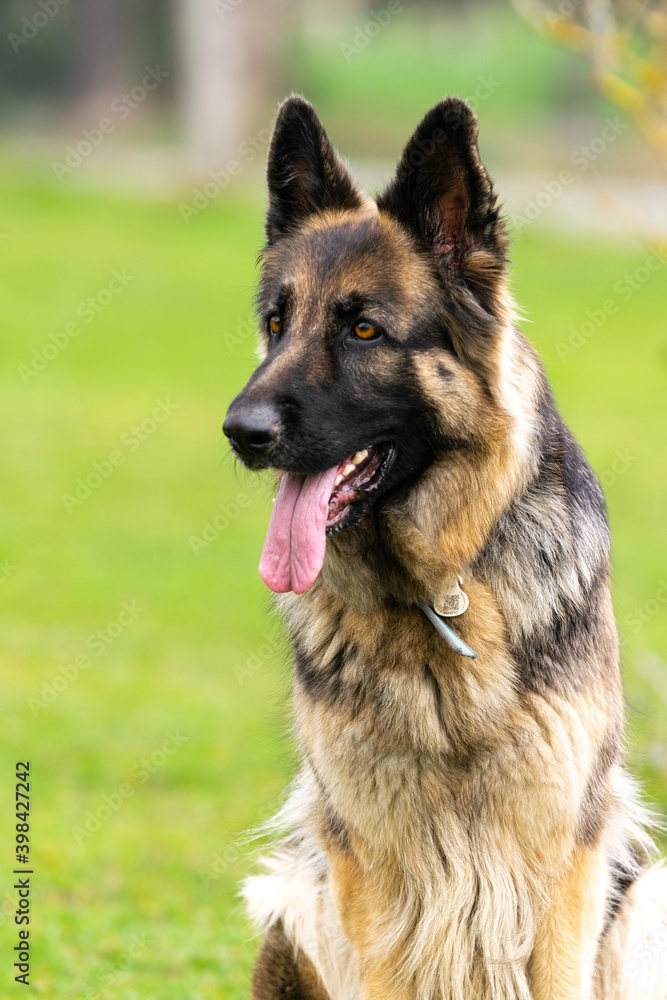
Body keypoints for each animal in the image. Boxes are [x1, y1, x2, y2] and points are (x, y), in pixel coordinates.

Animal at [224, 95, 667, 1000]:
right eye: (275, 325)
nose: (240, 433)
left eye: (363, 330)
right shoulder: (370, 866)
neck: (438, 596)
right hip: (292, 894)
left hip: (644, 897)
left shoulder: (564, 855)